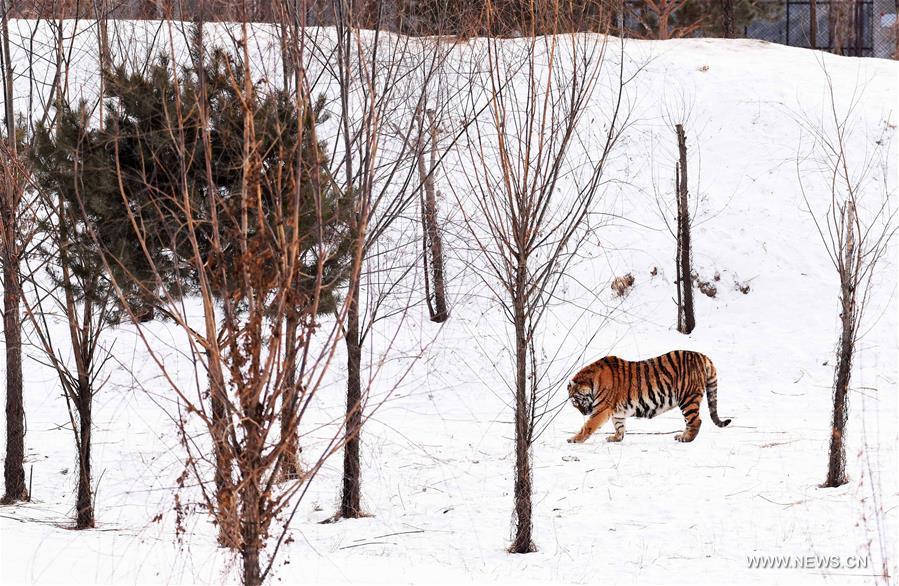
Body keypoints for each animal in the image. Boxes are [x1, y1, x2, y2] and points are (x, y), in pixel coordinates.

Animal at [568, 350, 732, 440]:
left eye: (575, 402)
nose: (584, 413)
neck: (592, 381)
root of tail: (703, 356)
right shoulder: (617, 411)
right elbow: (619, 425)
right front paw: (616, 438)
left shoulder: (601, 409)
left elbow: (588, 426)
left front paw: (574, 439)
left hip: (688, 398)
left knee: (696, 421)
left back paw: (685, 438)